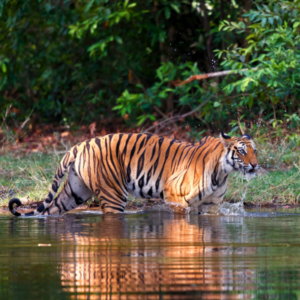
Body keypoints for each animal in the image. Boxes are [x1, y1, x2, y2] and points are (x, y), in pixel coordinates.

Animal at [8, 131, 258, 216]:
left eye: (255, 150)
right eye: (242, 151)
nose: (255, 165)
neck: (223, 172)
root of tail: (79, 145)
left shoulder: (211, 205)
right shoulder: (173, 194)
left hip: (76, 192)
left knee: (51, 209)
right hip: (113, 194)